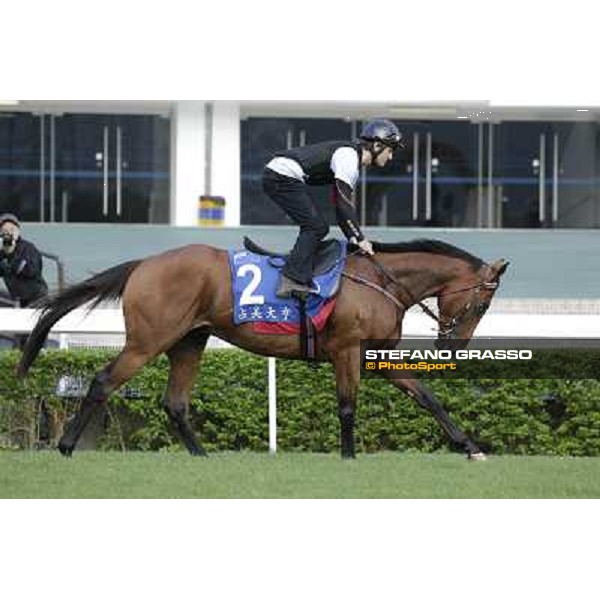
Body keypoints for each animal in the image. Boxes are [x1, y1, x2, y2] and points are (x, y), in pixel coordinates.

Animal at [17, 238, 506, 460]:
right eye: (482, 303)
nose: (453, 345)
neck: (381, 282)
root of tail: (145, 263)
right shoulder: (347, 350)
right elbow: (347, 406)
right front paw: (348, 457)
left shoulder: (377, 355)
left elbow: (427, 397)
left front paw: (469, 446)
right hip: (148, 340)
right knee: (102, 381)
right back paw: (66, 446)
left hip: (189, 341)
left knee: (174, 402)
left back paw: (202, 456)